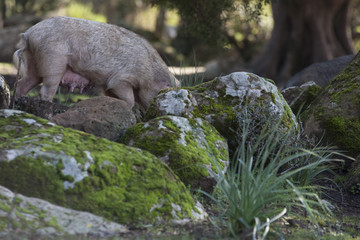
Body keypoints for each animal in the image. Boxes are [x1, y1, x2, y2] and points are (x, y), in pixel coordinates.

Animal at [13, 16, 179, 112]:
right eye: (163, 92)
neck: (150, 73)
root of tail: (29, 32)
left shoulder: (107, 85)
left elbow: (111, 94)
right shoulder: (121, 78)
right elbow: (128, 98)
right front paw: (127, 107)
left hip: (34, 62)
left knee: (23, 83)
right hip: (53, 59)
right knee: (46, 89)